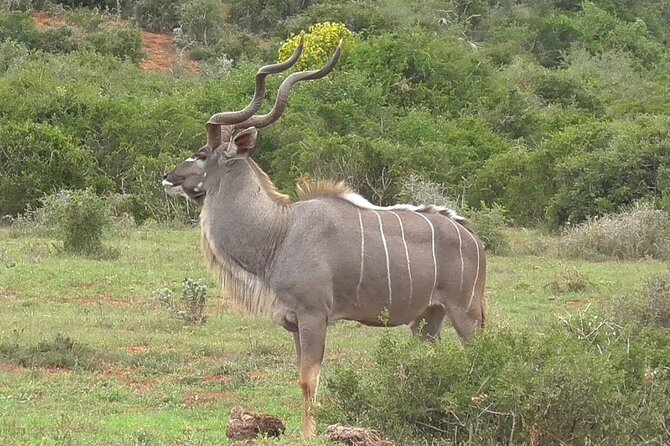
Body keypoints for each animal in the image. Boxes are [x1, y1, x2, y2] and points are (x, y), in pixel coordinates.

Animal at [164, 37, 488, 436]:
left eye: (201, 154)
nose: (168, 178)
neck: (279, 232)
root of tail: (472, 237)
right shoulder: (294, 323)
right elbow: (302, 378)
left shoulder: (314, 315)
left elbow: (309, 379)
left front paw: (309, 435)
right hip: (429, 318)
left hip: (464, 313)